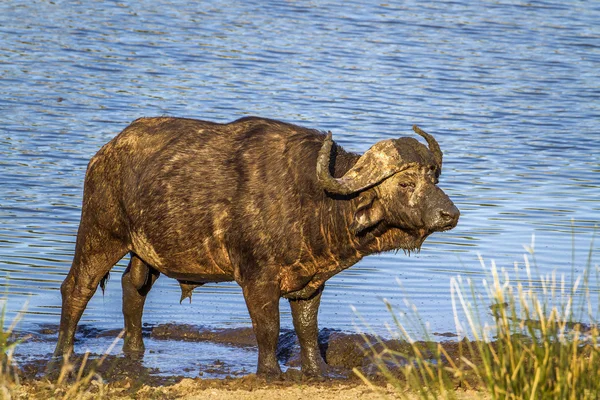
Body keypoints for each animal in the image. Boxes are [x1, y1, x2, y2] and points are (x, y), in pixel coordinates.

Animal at [56, 116, 460, 378]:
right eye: (406, 183)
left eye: (433, 179)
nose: (450, 214)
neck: (312, 198)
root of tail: (105, 154)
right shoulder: (257, 280)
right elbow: (268, 328)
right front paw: (270, 372)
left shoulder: (310, 282)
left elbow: (306, 327)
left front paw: (318, 370)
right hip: (99, 234)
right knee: (76, 288)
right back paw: (64, 353)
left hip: (143, 251)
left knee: (133, 288)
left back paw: (135, 349)